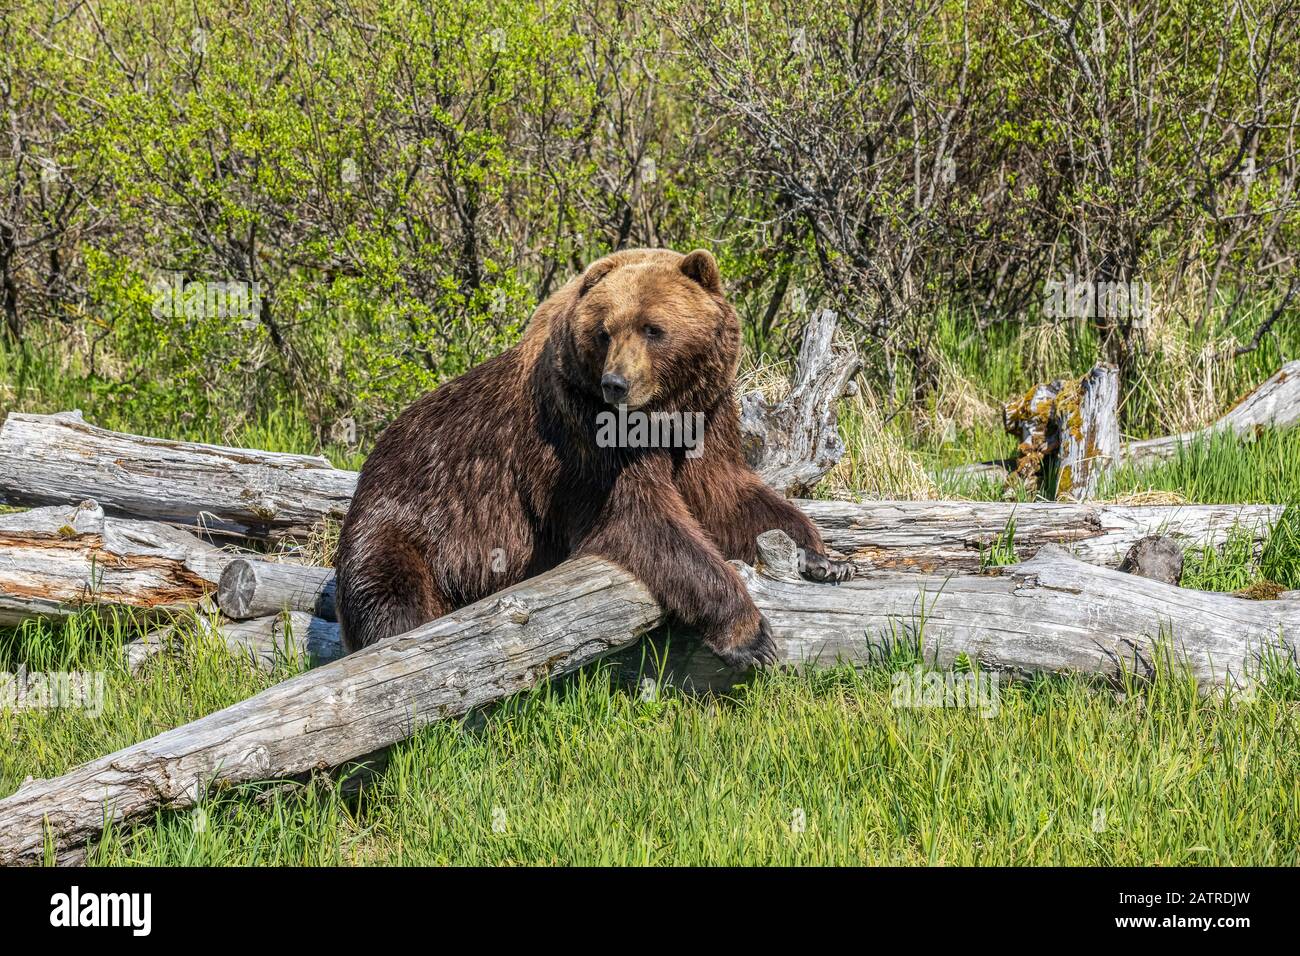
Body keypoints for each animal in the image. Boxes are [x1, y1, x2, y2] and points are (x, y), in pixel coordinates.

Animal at [335, 247, 852, 665]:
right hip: (407, 520)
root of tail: (369, 467)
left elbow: (731, 497)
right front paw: (750, 634)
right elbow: (642, 520)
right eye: (605, 331)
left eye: (653, 328)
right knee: (392, 599)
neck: (660, 416)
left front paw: (823, 558)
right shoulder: (582, 438)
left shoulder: (705, 420)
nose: (615, 383)